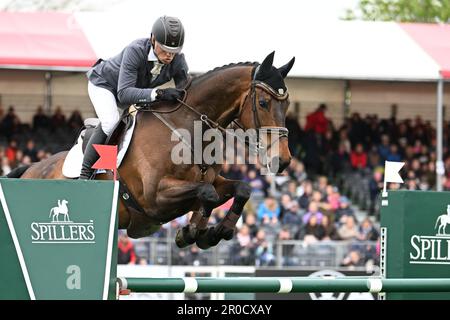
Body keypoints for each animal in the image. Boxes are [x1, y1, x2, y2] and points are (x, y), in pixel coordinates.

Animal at [7, 50, 296, 250]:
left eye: (287, 104)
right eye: (263, 102)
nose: (282, 160)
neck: (186, 128)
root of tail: (30, 169)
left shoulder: (212, 181)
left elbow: (239, 189)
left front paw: (211, 233)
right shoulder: (155, 198)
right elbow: (208, 194)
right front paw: (192, 233)